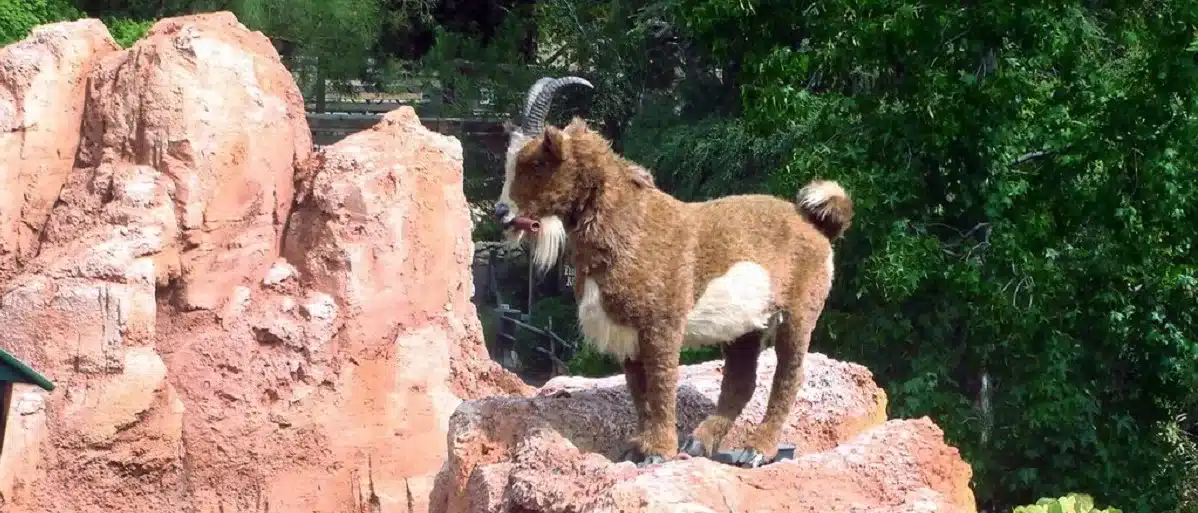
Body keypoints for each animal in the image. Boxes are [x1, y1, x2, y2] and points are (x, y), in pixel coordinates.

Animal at [493, 77, 852, 469]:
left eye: (537, 162)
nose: (501, 212)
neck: (632, 224)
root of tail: (817, 225)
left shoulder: (661, 325)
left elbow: (662, 383)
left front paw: (659, 452)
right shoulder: (628, 334)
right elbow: (639, 390)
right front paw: (640, 448)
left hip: (799, 313)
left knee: (790, 376)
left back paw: (757, 450)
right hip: (745, 327)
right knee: (741, 382)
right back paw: (698, 443)